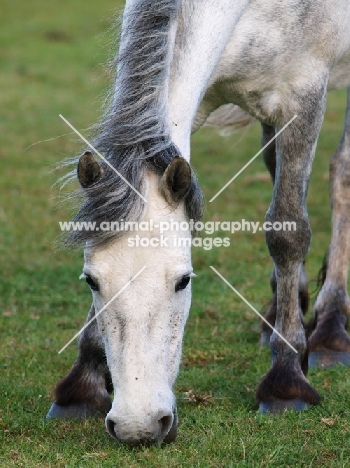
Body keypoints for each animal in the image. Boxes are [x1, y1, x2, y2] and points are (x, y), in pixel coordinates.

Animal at [47, 0, 350, 446]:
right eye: (91, 281)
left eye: (184, 281)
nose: (139, 426)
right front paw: (81, 385)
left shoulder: (304, 94)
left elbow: (288, 229)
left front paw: (286, 380)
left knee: (340, 171)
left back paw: (331, 329)